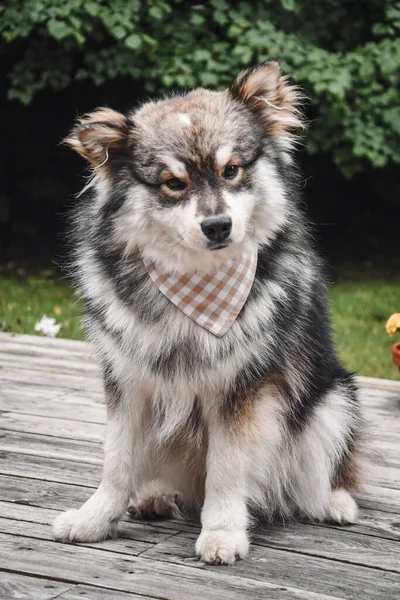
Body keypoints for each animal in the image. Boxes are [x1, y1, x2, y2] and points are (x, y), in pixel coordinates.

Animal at [52, 63, 362, 564]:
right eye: (173, 183)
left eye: (231, 170)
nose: (218, 226)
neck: (197, 286)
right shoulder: (128, 382)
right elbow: (117, 462)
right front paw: (94, 519)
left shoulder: (242, 392)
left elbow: (226, 468)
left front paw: (222, 532)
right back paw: (155, 494)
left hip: (334, 401)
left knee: (314, 477)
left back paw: (333, 502)